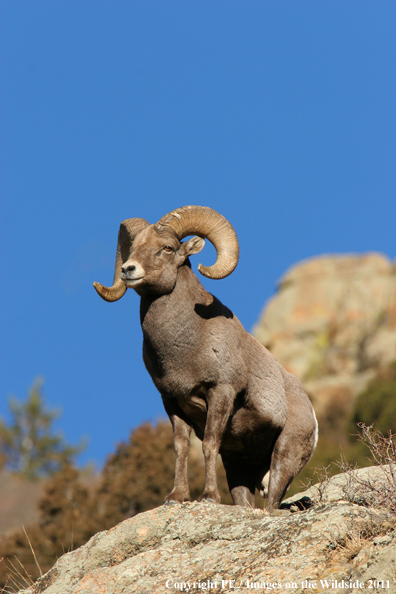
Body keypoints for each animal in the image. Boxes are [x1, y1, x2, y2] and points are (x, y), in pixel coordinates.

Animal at [93, 205, 318, 508]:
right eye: (133, 248)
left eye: (167, 248)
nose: (128, 270)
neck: (187, 344)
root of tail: (311, 415)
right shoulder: (172, 401)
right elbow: (181, 448)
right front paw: (176, 496)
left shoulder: (220, 392)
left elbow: (210, 444)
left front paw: (208, 497)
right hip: (239, 468)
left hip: (284, 456)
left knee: (271, 503)